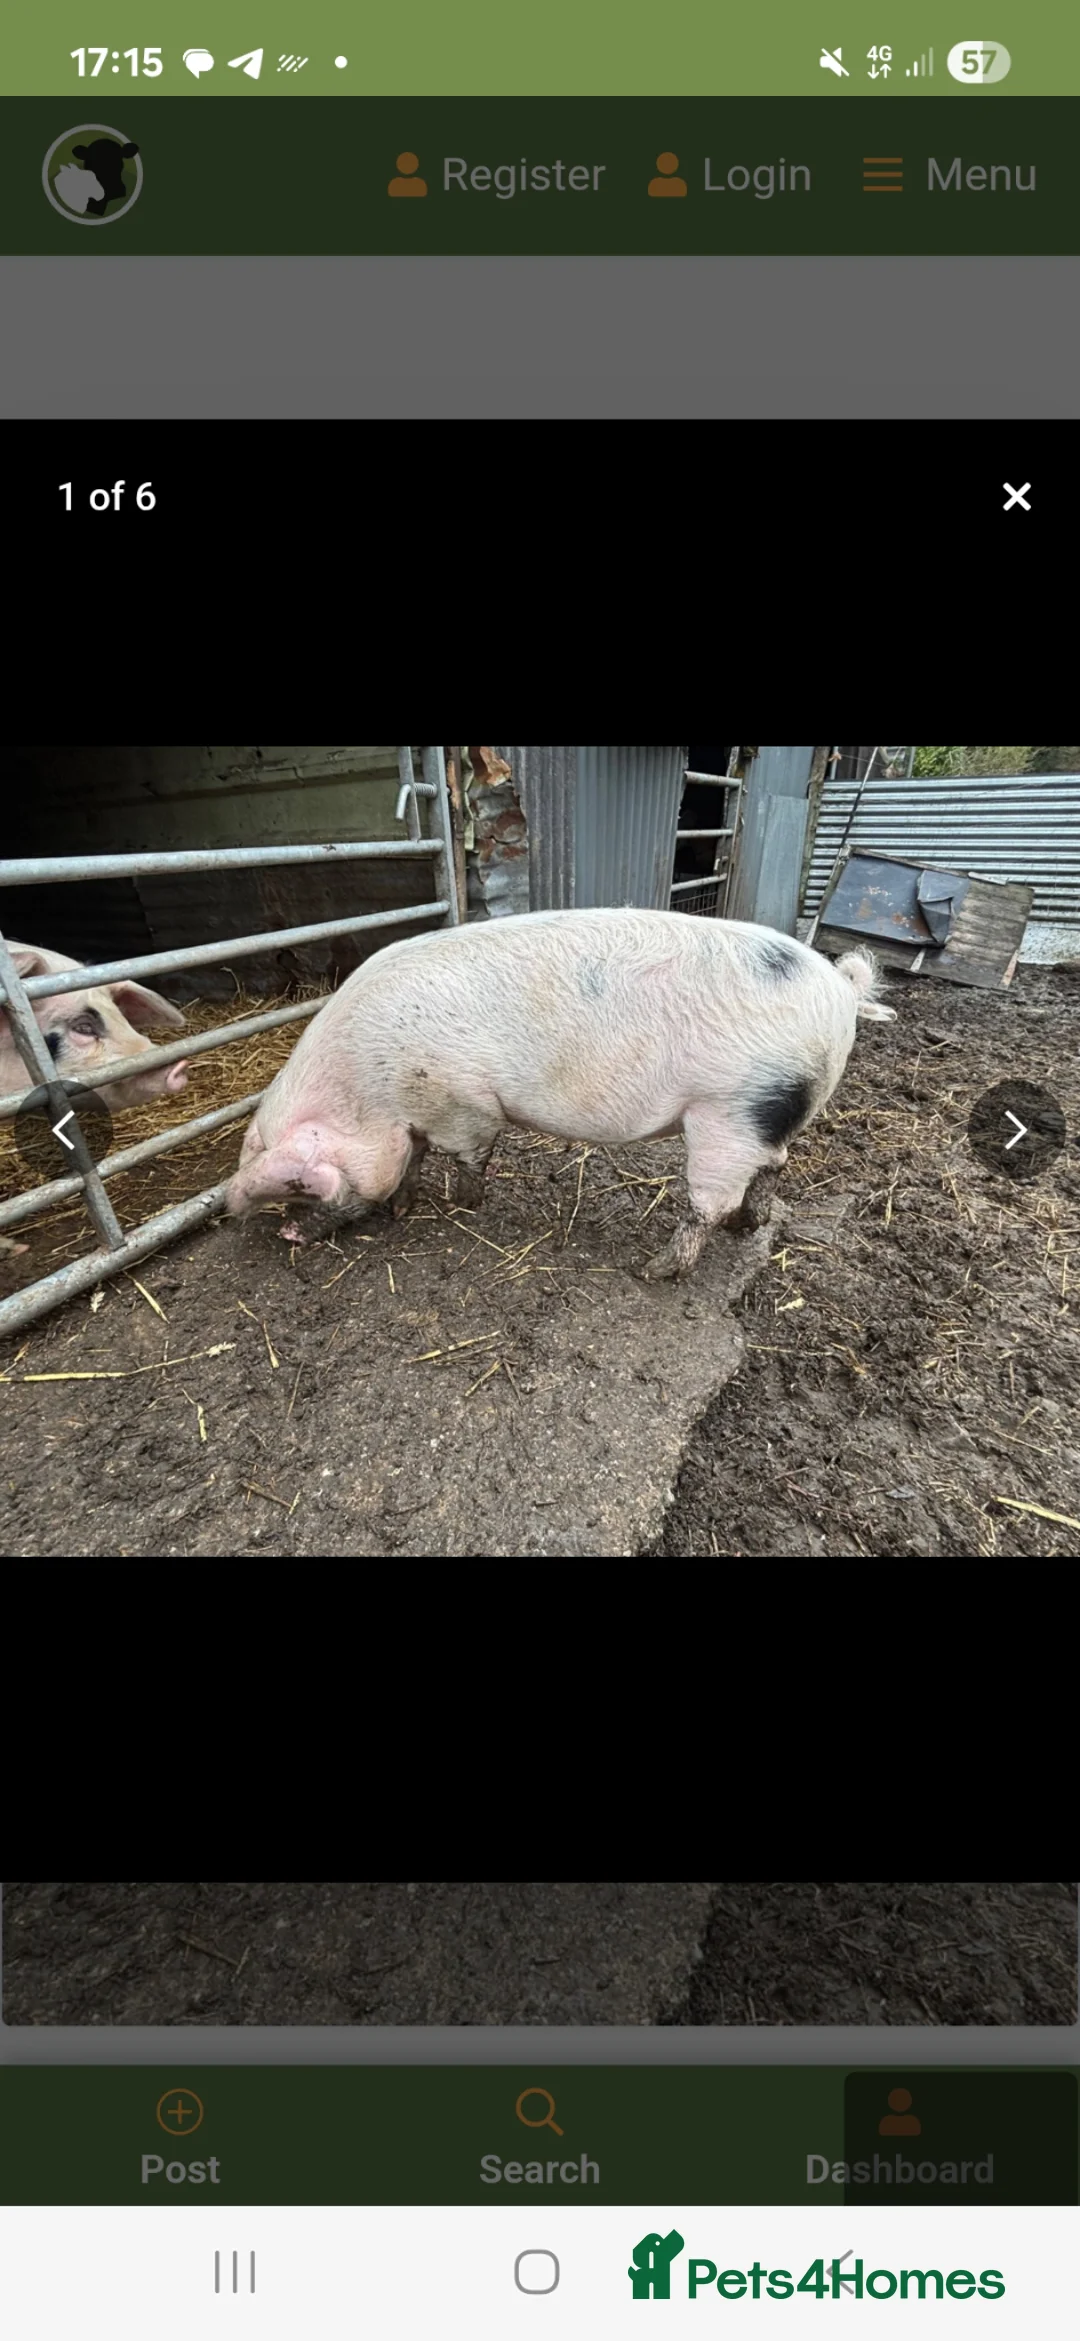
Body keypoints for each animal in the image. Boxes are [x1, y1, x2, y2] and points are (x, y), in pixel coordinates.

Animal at [224, 907, 896, 1280]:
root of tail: (840, 989)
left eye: (299, 1185)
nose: (285, 1235)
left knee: (711, 1201)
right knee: (774, 1165)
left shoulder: (462, 1104)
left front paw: (464, 1205)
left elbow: (469, 1155)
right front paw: (402, 1209)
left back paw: (652, 1271)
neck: (368, 1087)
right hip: (769, 1111)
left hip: (731, 1111)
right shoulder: (416, 1117)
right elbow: (412, 1160)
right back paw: (747, 1227)